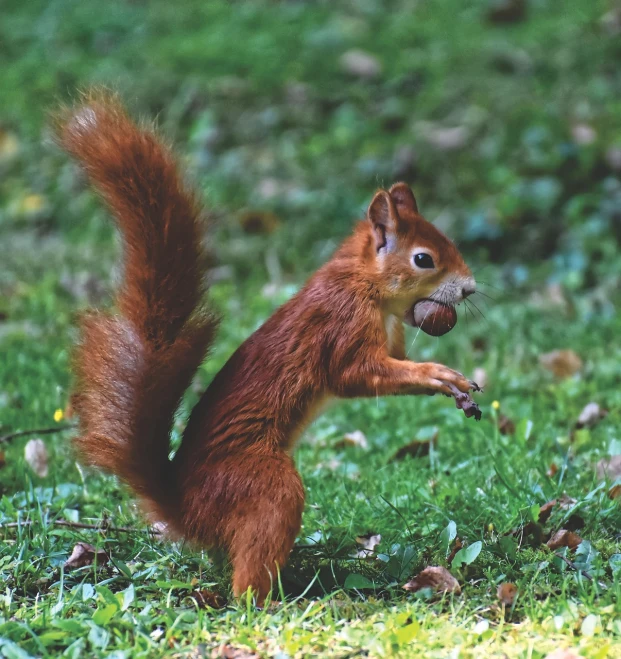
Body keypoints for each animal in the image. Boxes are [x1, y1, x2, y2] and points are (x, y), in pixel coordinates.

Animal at [57, 93, 480, 604]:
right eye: (423, 259)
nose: (471, 288)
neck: (364, 283)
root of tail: (184, 509)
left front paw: (453, 387)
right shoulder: (341, 325)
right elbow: (354, 374)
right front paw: (438, 374)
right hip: (261, 486)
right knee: (248, 581)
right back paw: (281, 602)